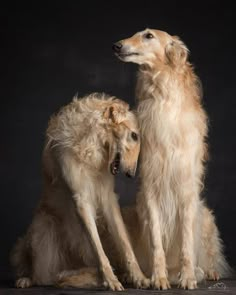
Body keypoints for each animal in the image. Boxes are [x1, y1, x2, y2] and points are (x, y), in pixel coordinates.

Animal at [11, 93, 149, 292]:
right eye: (134, 135)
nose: (131, 174)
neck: (91, 143)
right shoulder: (81, 199)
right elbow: (99, 250)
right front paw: (110, 280)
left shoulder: (108, 198)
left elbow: (125, 243)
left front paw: (138, 277)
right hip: (43, 228)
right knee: (42, 275)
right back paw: (27, 278)